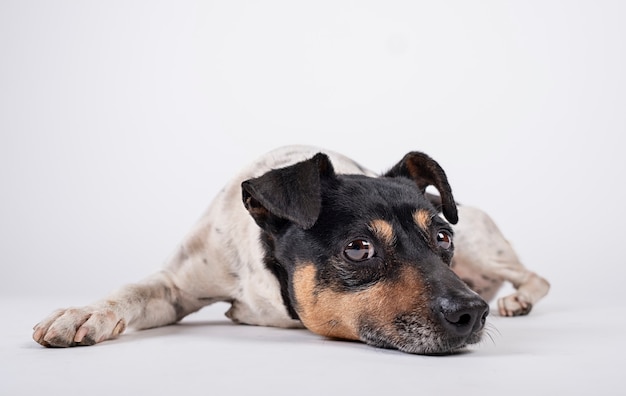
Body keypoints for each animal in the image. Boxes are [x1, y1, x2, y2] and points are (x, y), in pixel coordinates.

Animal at [33, 145, 544, 356]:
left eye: (442, 238)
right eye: (359, 249)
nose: (472, 313)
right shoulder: (175, 286)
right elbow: (131, 291)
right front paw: (82, 313)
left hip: (481, 244)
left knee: (535, 276)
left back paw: (516, 300)